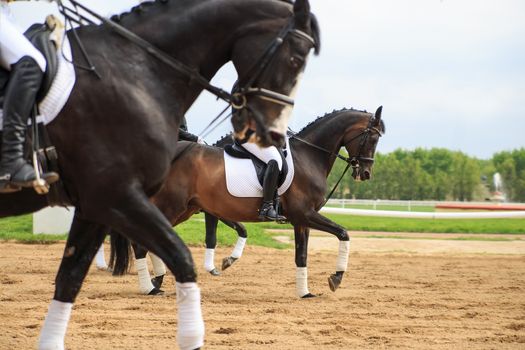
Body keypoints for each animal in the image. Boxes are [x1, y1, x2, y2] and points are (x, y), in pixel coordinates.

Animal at [0, 1, 320, 348]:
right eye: (296, 58)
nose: (272, 134)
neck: (133, 72)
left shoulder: (98, 204)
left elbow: (70, 278)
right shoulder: (116, 196)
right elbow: (186, 256)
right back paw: (151, 280)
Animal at [113, 107, 384, 298]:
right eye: (372, 137)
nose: (365, 173)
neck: (309, 156)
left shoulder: (300, 221)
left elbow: (302, 255)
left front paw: (305, 292)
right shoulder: (305, 214)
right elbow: (344, 233)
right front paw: (335, 278)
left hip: (185, 208)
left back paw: (156, 282)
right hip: (173, 205)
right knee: (142, 242)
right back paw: (150, 286)